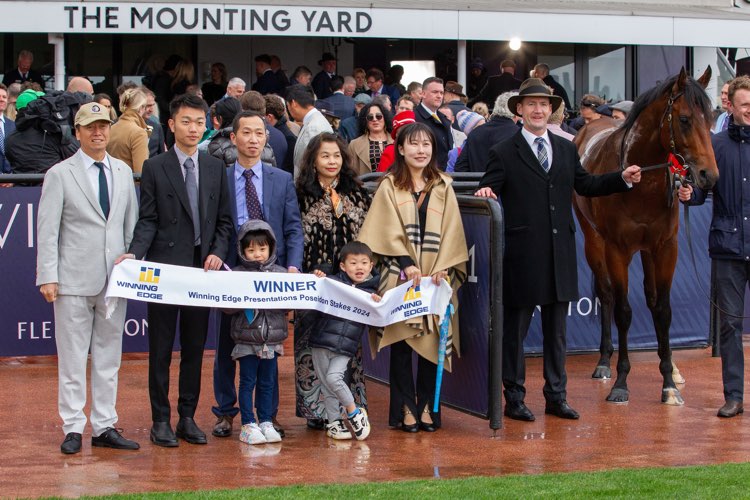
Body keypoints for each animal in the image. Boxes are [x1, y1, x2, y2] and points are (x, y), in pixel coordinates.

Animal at [576, 66, 724, 404]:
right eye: (685, 119)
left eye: (711, 118)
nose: (709, 176)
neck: (641, 185)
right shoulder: (617, 249)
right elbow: (623, 311)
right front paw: (621, 381)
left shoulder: (665, 247)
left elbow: (663, 309)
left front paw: (668, 382)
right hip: (593, 239)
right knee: (605, 293)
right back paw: (604, 361)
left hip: (645, 251)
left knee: (650, 295)